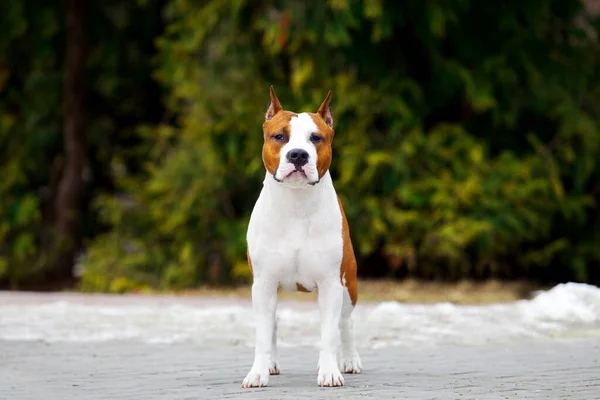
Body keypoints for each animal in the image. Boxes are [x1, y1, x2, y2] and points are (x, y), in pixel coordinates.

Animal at [243, 86, 364, 388]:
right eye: (280, 137)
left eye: (316, 138)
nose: (298, 155)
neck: (296, 204)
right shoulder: (263, 284)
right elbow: (263, 334)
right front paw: (258, 372)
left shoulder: (331, 283)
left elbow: (329, 334)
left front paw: (330, 371)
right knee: (273, 325)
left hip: (349, 284)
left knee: (345, 322)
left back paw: (349, 360)